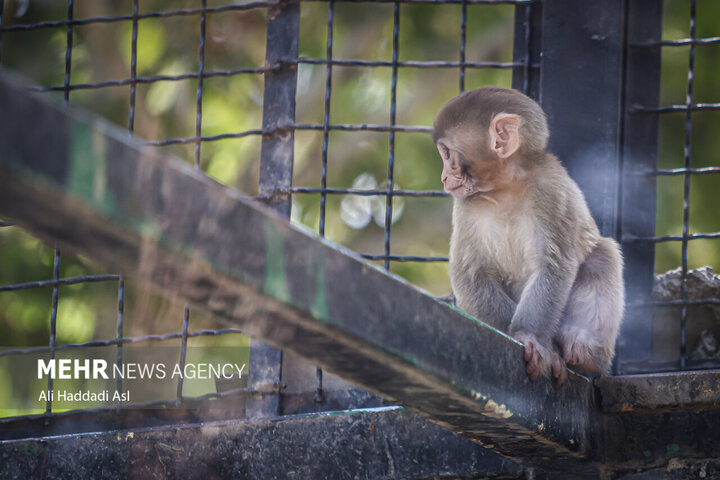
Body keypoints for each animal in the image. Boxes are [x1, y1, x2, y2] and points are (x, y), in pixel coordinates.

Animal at [434, 88, 624, 384]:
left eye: (446, 154)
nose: (444, 177)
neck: (504, 189)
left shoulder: (551, 187)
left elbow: (554, 265)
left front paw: (529, 335)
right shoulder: (464, 206)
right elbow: (470, 274)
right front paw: (530, 342)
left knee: (602, 255)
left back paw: (584, 350)